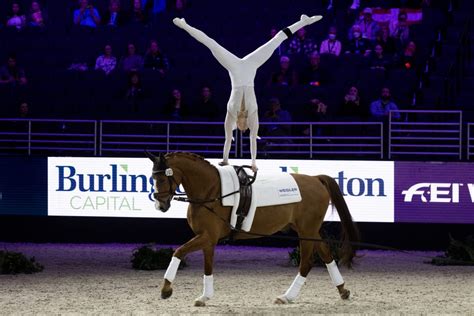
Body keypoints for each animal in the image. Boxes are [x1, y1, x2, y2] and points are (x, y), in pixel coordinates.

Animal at [144, 152, 360, 304]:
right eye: (153, 178)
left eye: (161, 179)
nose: (161, 206)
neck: (212, 191)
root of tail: (316, 178)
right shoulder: (207, 239)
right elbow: (207, 266)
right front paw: (205, 297)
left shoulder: (208, 236)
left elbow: (178, 252)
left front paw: (166, 290)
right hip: (311, 231)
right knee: (326, 254)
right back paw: (343, 290)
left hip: (306, 232)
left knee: (306, 263)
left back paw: (287, 297)